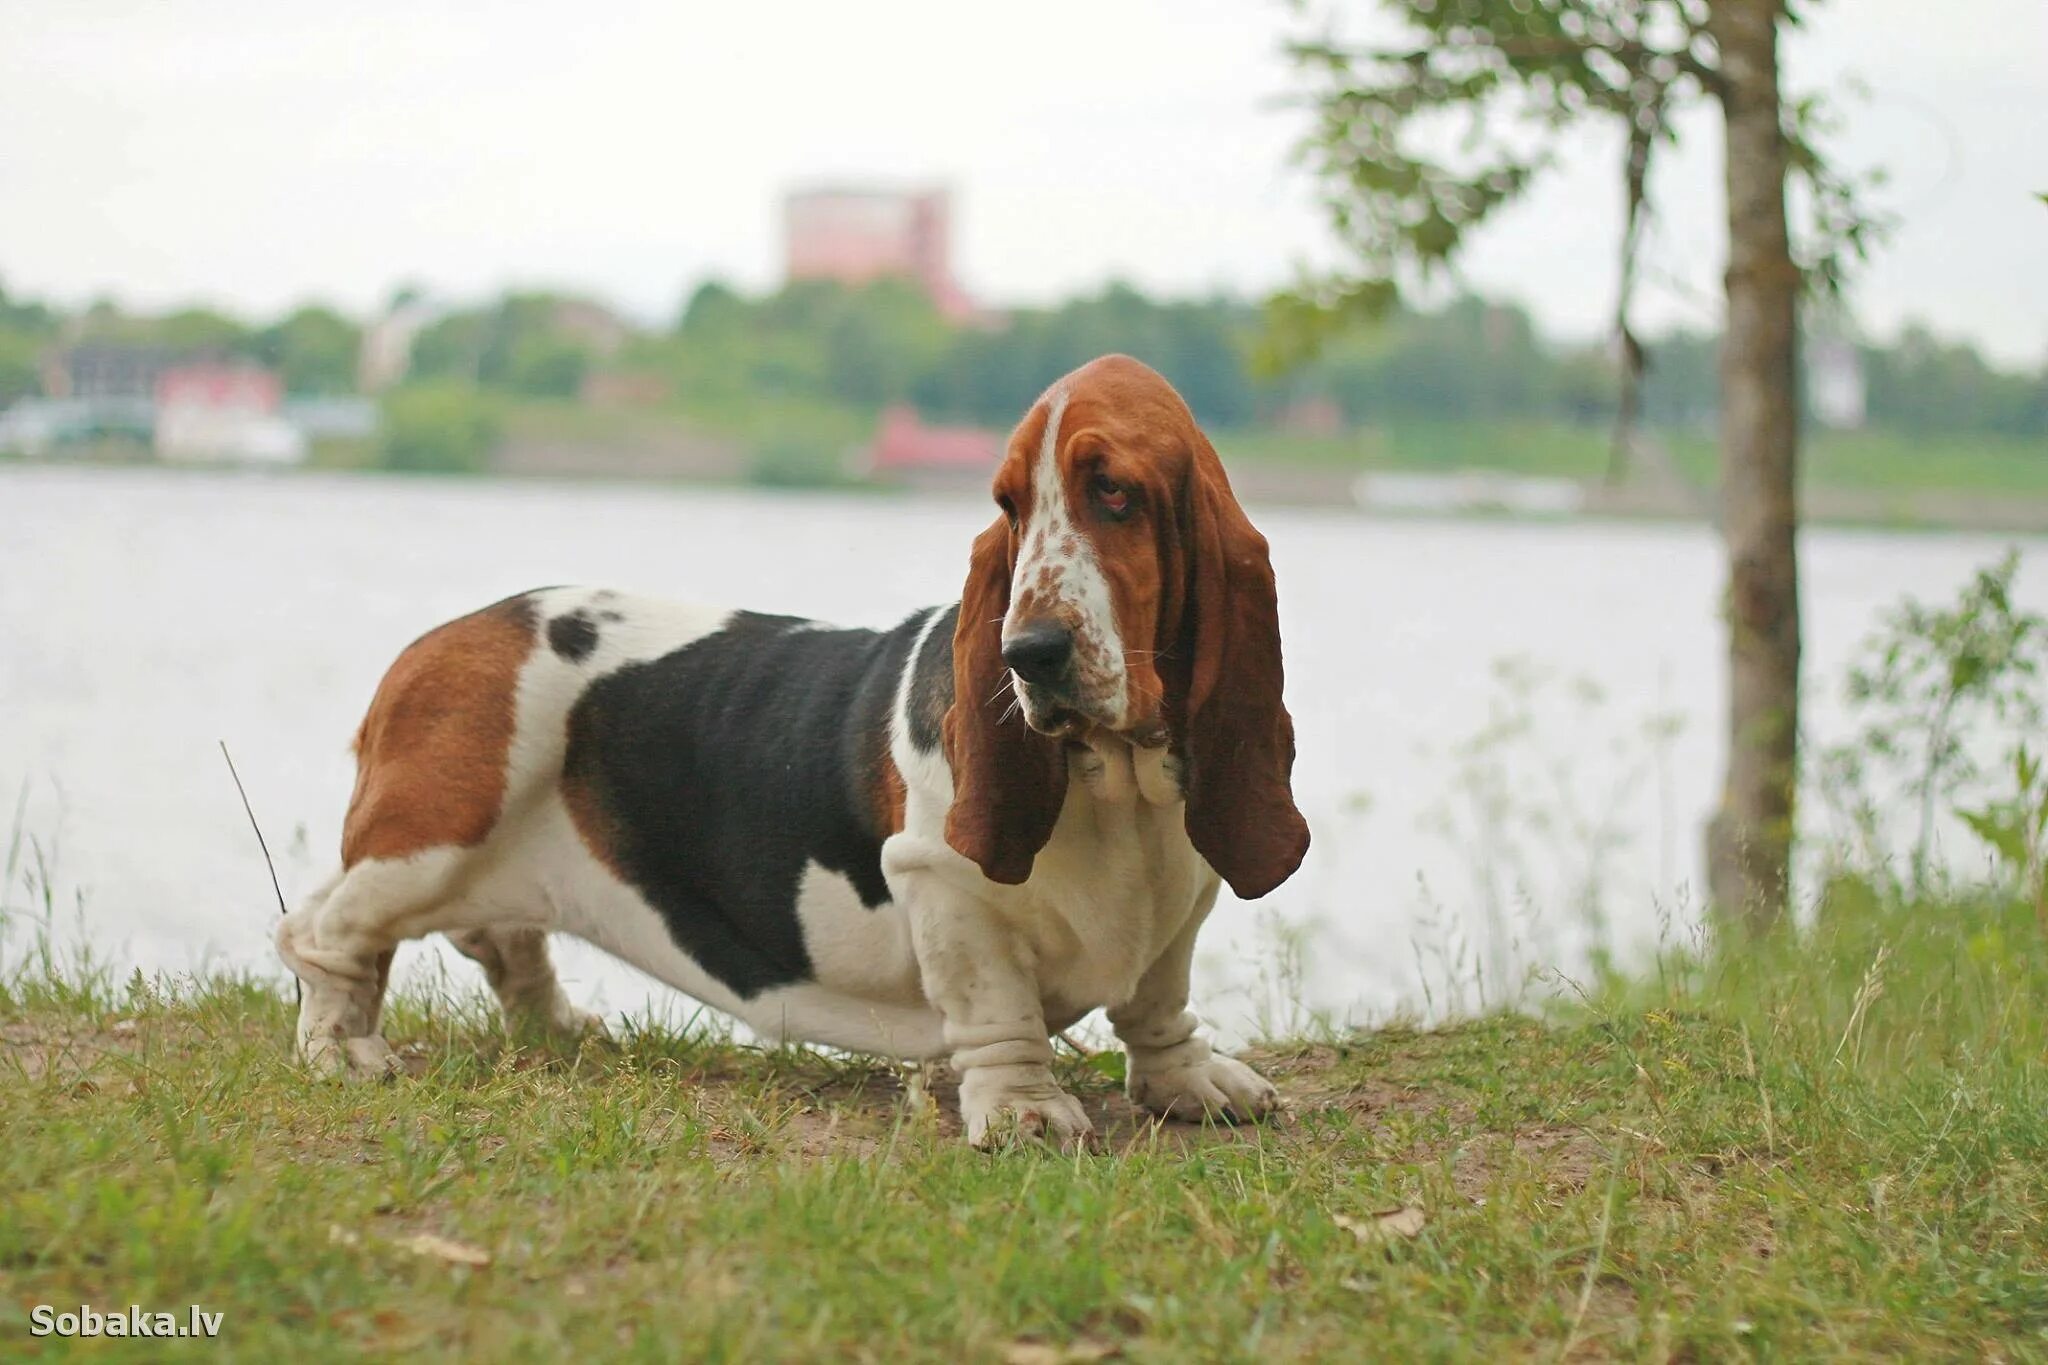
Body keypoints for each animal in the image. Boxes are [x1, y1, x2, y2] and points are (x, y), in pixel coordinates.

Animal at [276, 351, 1310, 1146]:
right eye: (1010, 504)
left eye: (1116, 494)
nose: (1029, 653)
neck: (1118, 782)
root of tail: (432, 643)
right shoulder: (942, 882)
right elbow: (1000, 1011)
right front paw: (1025, 1109)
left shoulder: (1184, 889)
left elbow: (1157, 998)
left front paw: (1189, 1080)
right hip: (429, 838)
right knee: (323, 936)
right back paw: (341, 1047)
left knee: (497, 939)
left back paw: (559, 1027)